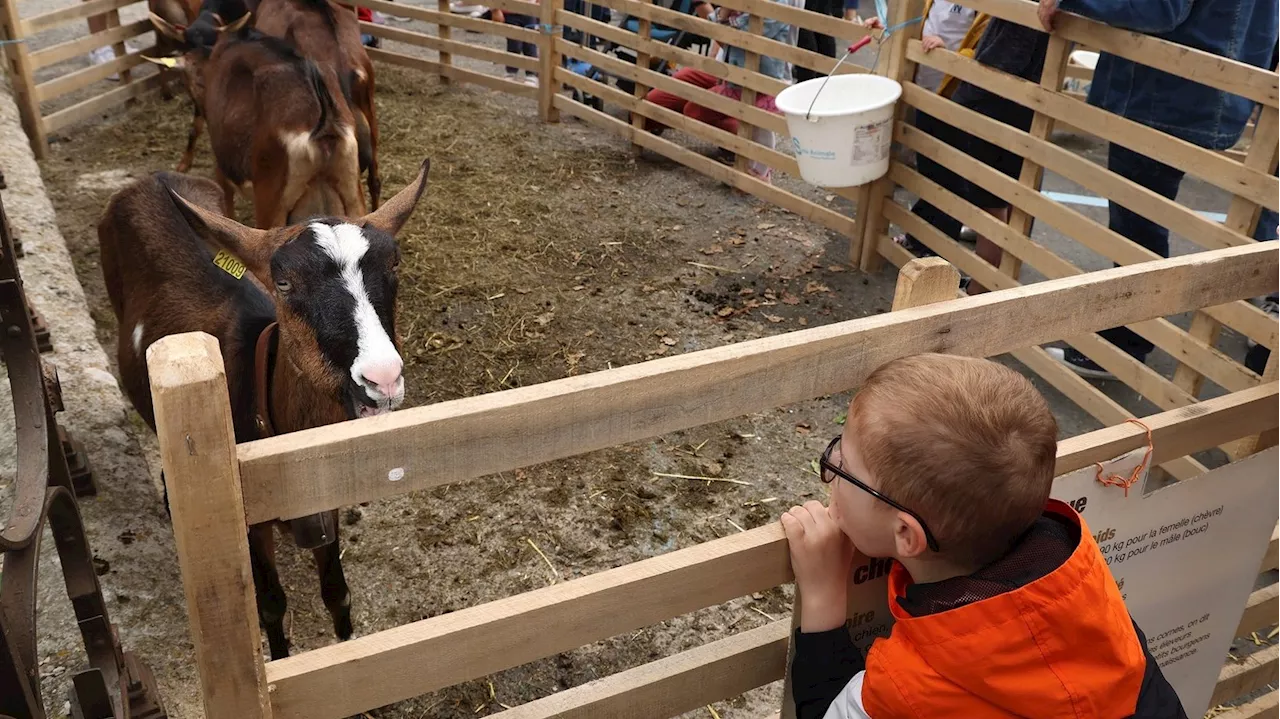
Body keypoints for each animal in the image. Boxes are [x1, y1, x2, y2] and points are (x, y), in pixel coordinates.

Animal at [99, 156, 430, 655]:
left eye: (394, 264)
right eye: (284, 281)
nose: (383, 379)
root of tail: (149, 179)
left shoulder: (326, 498)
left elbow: (337, 591)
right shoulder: (248, 524)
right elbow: (271, 603)